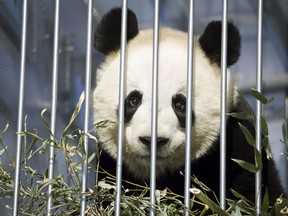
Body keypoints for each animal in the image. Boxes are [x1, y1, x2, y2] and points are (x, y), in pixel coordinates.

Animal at [93, 7, 284, 205]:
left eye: (180, 104)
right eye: (133, 100)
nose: (153, 140)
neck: (161, 173)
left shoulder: (239, 144)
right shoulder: (109, 166)